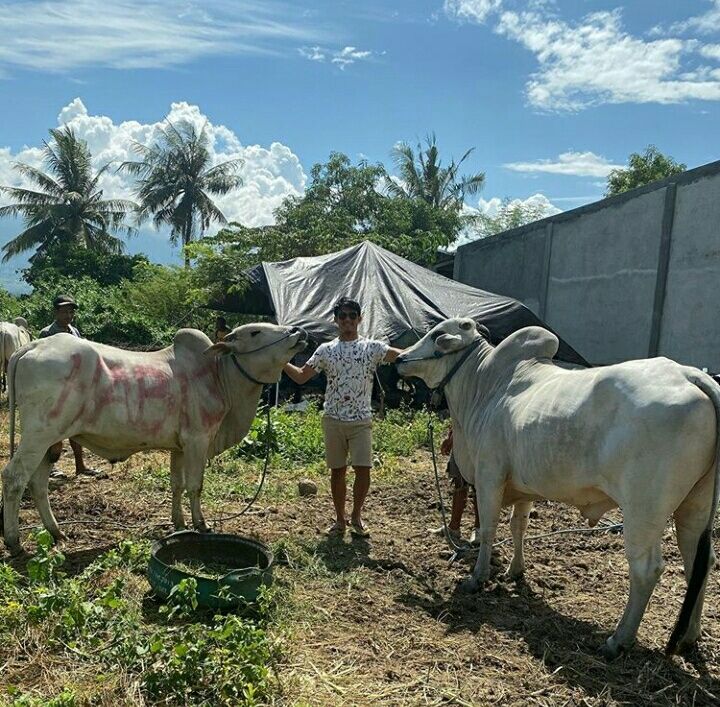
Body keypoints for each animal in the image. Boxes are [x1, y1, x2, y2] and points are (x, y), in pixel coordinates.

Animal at [0, 324, 306, 556]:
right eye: (255, 332)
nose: (298, 331)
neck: (218, 375)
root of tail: (31, 347)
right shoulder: (198, 440)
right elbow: (195, 486)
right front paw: (201, 525)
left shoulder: (179, 447)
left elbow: (177, 485)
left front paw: (178, 523)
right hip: (38, 436)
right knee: (15, 478)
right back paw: (14, 542)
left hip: (49, 441)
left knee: (38, 483)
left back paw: (57, 532)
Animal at [396, 318, 720, 660]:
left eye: (437, 335)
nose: (400, 358)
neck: (484, 385)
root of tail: (689, 375)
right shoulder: (522, 487)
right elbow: (518, 526)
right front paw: (515, 571)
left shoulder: (489, 476)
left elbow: (488, 530)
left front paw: (477, 577)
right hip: (695, 507)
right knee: (699, 562)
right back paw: (690, 637)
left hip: (644, 511)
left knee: (647, 570)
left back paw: (618, 640)